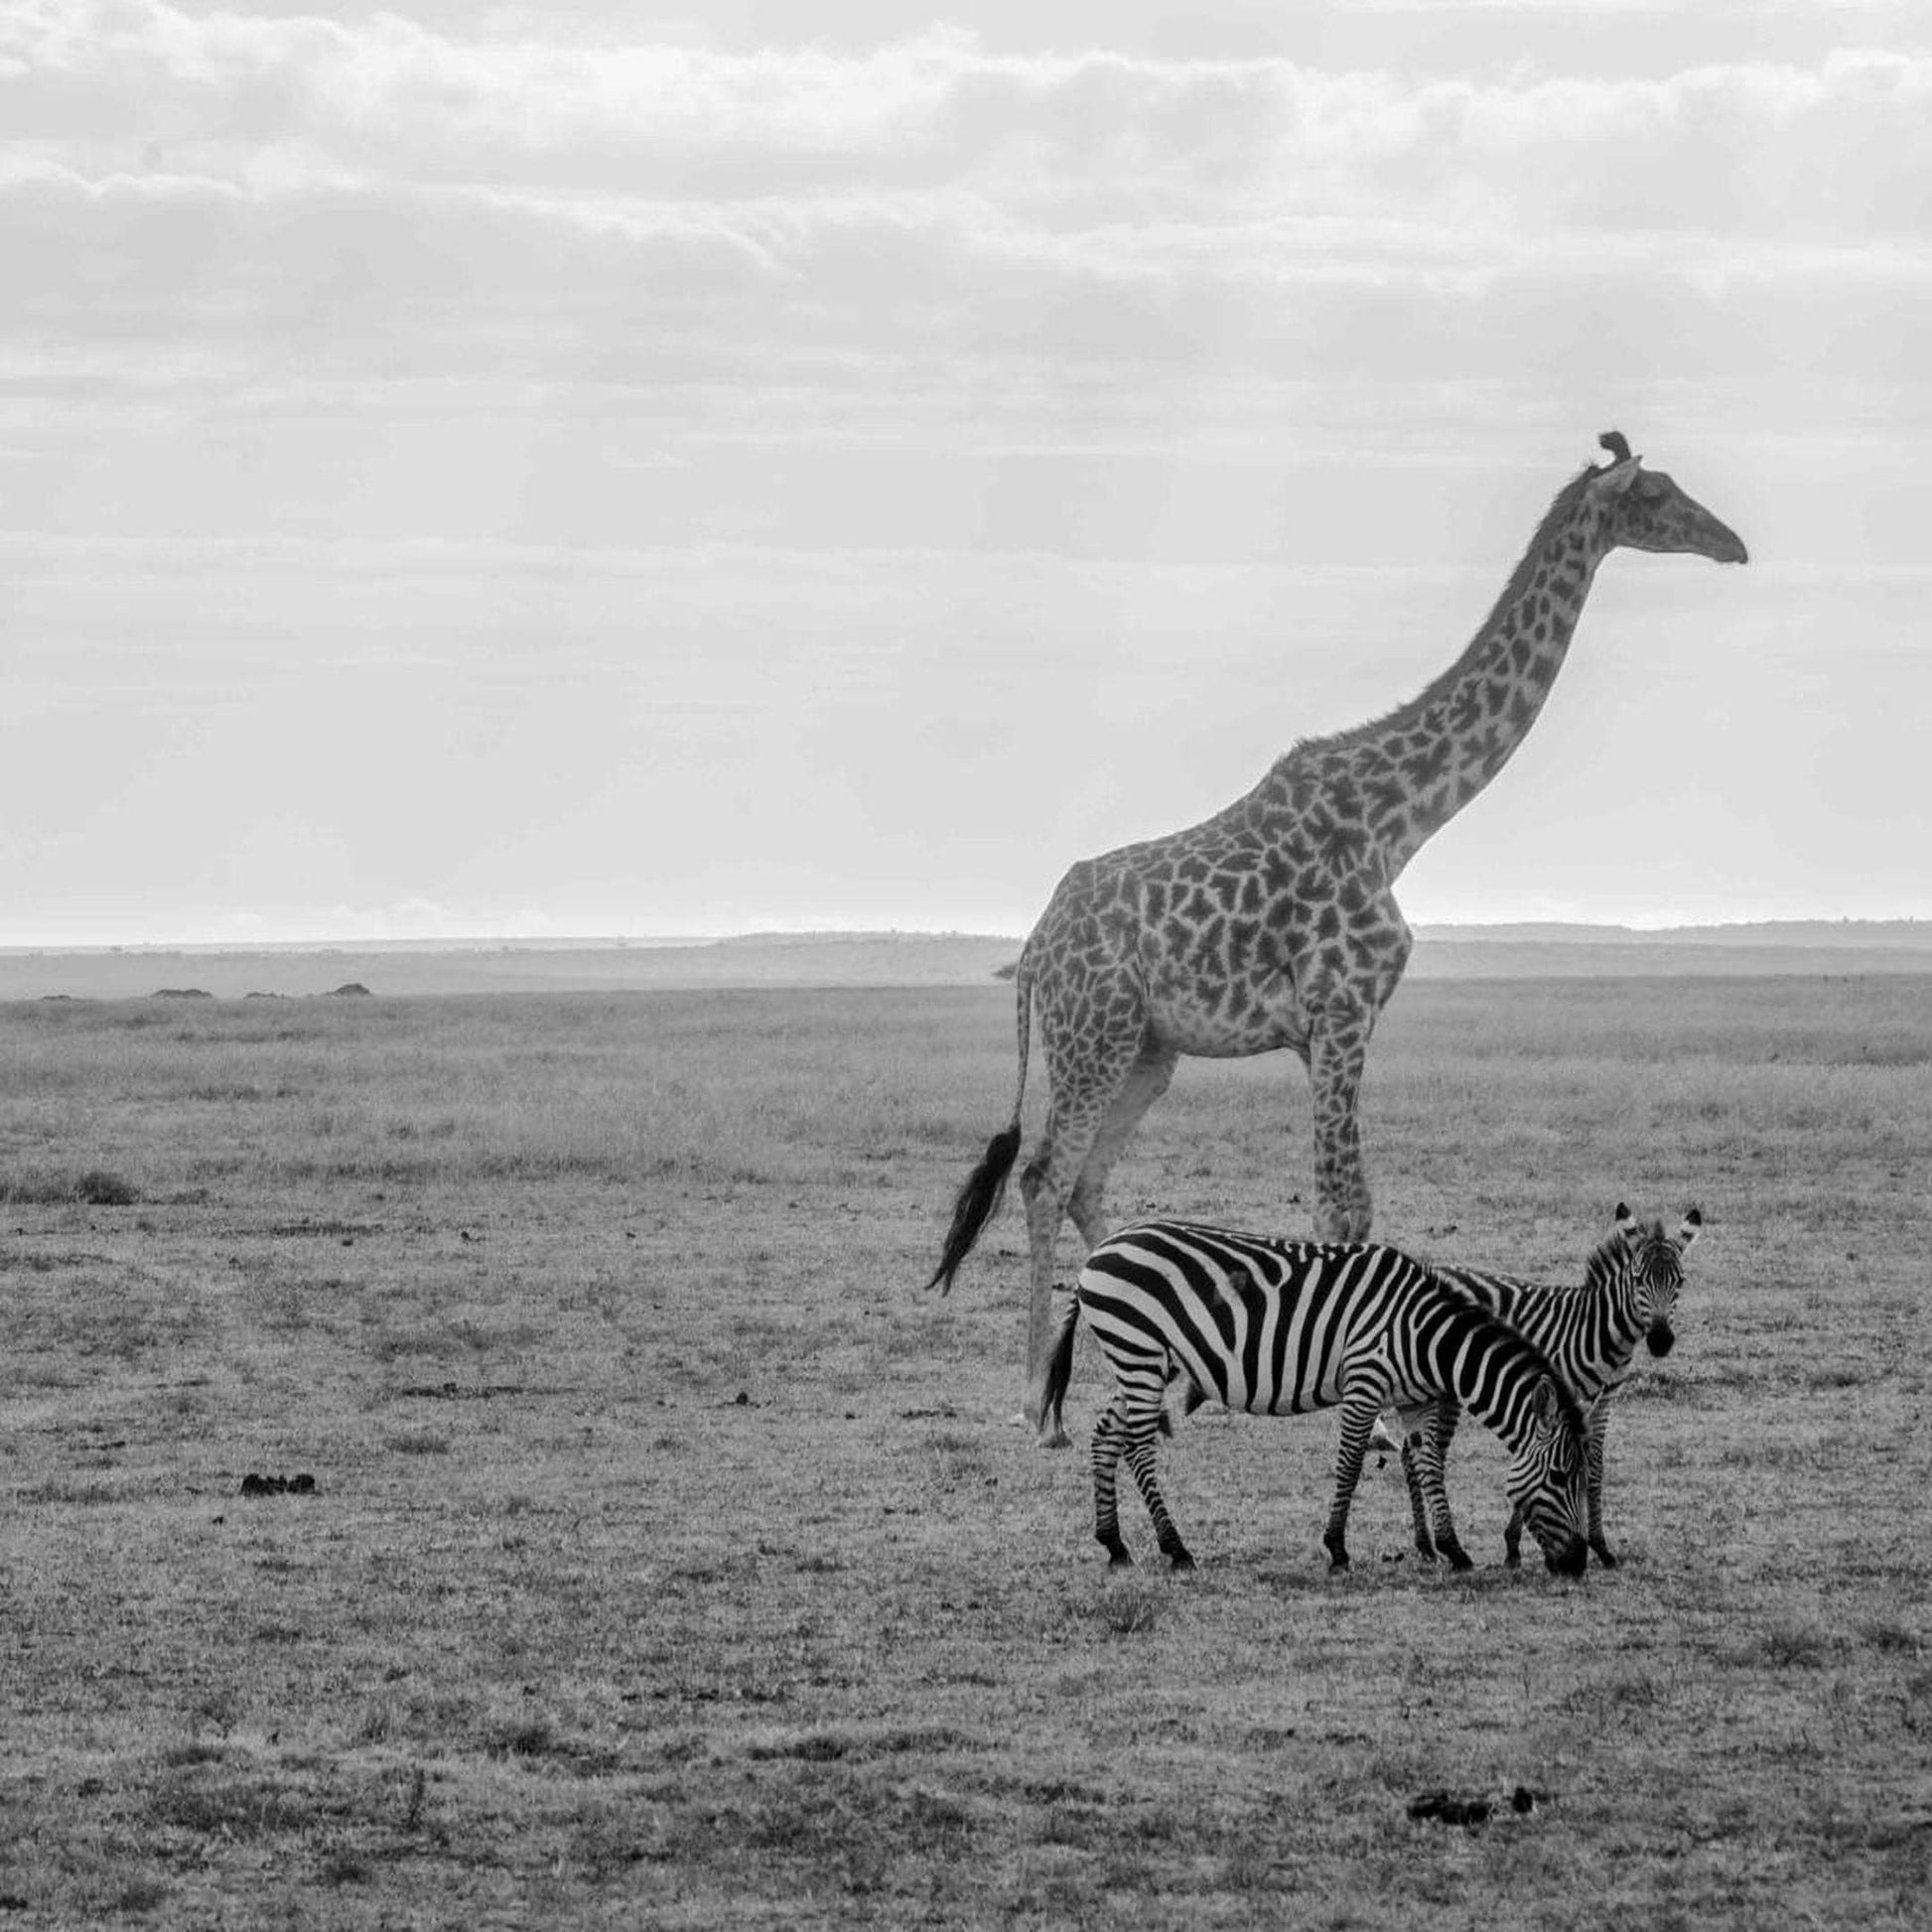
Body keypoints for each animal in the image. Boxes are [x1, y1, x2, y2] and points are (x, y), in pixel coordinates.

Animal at [924, 432, 1747, 1446]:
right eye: (1662, 496)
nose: (1734, 545)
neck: (1402, 819)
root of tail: (1036, 948)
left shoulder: (1329, 1027)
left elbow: (1348, 1203)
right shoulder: (1343, 1010)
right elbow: (1345, 1207)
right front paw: (1384, 1413)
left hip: (1148, 1052)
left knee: (1082, 1184)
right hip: (1094, 1035)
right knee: (1045, 1175)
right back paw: (1040, 1407)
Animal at [1042, 1219, 1592, 1577]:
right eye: (1561, 1476)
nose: (1578, 1564)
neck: (1425, 1336)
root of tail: (1097, 1254)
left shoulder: (1414, 1401)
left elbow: (1431, 1465)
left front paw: (1453, 1549)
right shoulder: (1364, 1382)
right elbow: (1350, 1463)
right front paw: (1337, 1549)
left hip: (1146, 1362)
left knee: (1106, 1435)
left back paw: (1114, 1543)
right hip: (1139, 1351)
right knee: (1137, 1445)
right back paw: (1175, 1548)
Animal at [1389, 1204, 1701, 1571]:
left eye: (1680, 1282)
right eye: (1638, 1279)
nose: (1661, 1341)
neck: (1598, 1329)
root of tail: (1432, 1269)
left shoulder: (1604, 1399)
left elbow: (1594, 1466)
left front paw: (1601, 1546)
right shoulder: (1558, 1395)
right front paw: (1515, 1546)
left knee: (1411, 1450)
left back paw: (1425, 1543)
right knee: (1427, 1452)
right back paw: (1432, 1544)